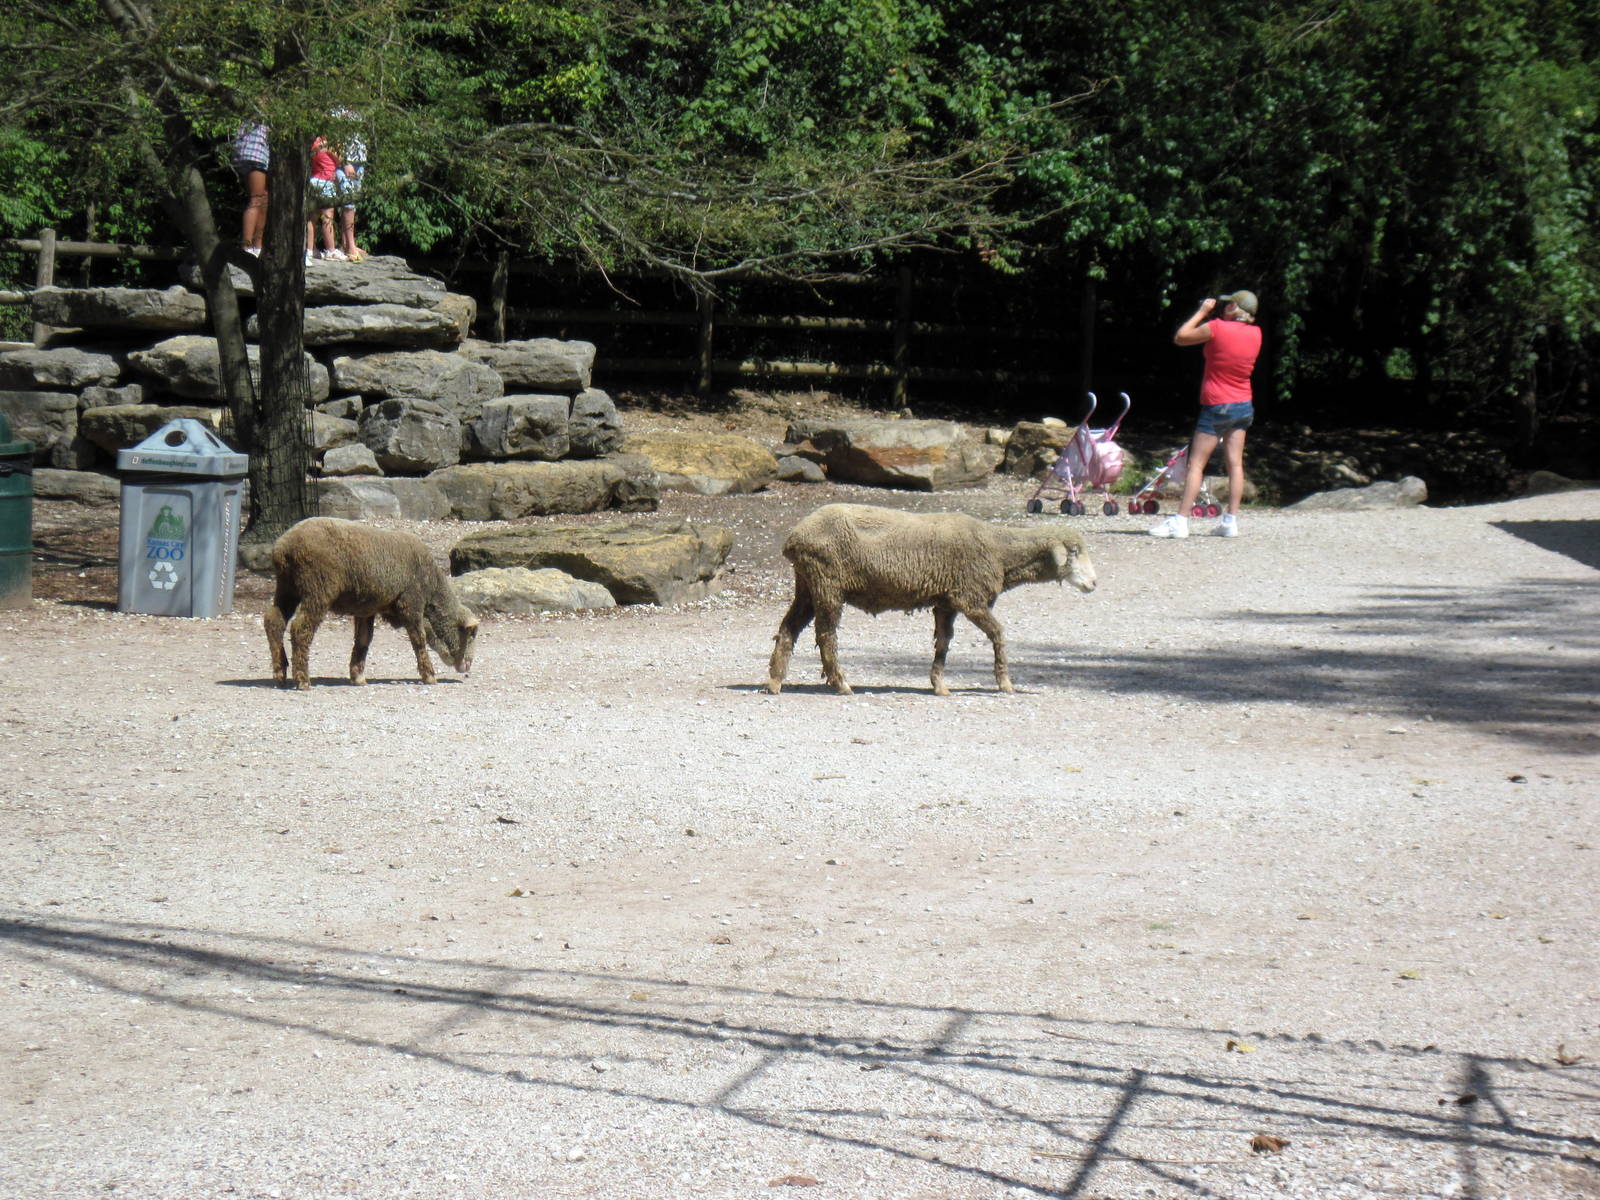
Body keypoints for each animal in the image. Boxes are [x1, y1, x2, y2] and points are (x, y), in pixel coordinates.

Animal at [264, 517, 478, 690]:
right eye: (471, 634)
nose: (467, 665)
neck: (433, 587)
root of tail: (283, 548)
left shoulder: (367, 610)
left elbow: (363, 640)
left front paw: (358, 677)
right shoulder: (411, 603)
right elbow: (419, 639)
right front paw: (429, 675)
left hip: (287, 587)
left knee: (274, 622)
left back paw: (280, 675)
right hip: (317, 589)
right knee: (300, 628)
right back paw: (302, 680)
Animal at [765, 503, 1097, 696]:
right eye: (1074, 552)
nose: (1094, 583)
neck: (1000, 551)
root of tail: (794, 537)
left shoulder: (946, 603)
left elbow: (943, 643)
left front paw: (939, 685)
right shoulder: (970, 599)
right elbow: (998, 635)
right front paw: (1005, 683)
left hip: (807, 585)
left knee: (787, 630)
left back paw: (775, 682)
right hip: (827, 583)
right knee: (826, 635)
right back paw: (842, 684)